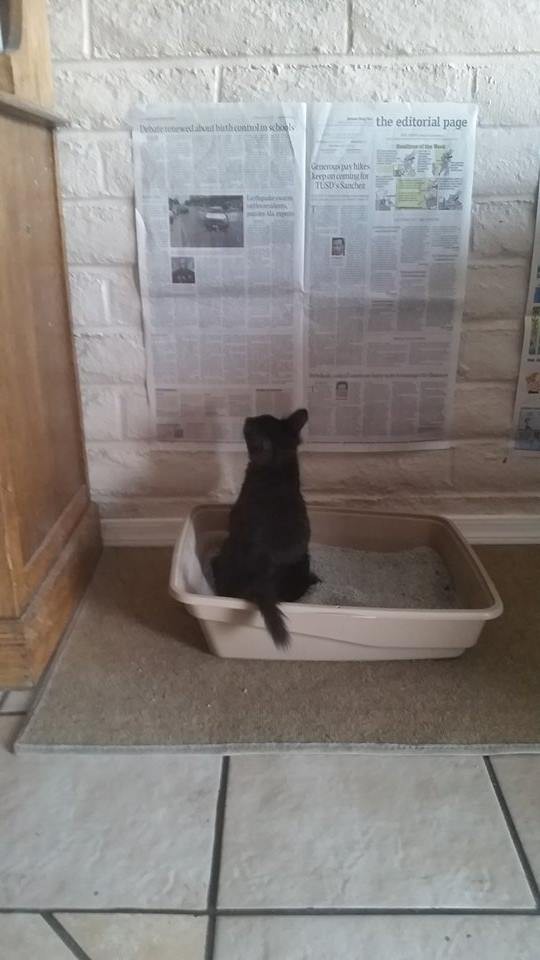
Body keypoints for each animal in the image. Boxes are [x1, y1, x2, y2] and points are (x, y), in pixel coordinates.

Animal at [211, 409, 318, 648]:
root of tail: (263, 567)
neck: (276, 468)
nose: (248, 418)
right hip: (303, 559)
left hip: (228, 548)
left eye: (252, 426)